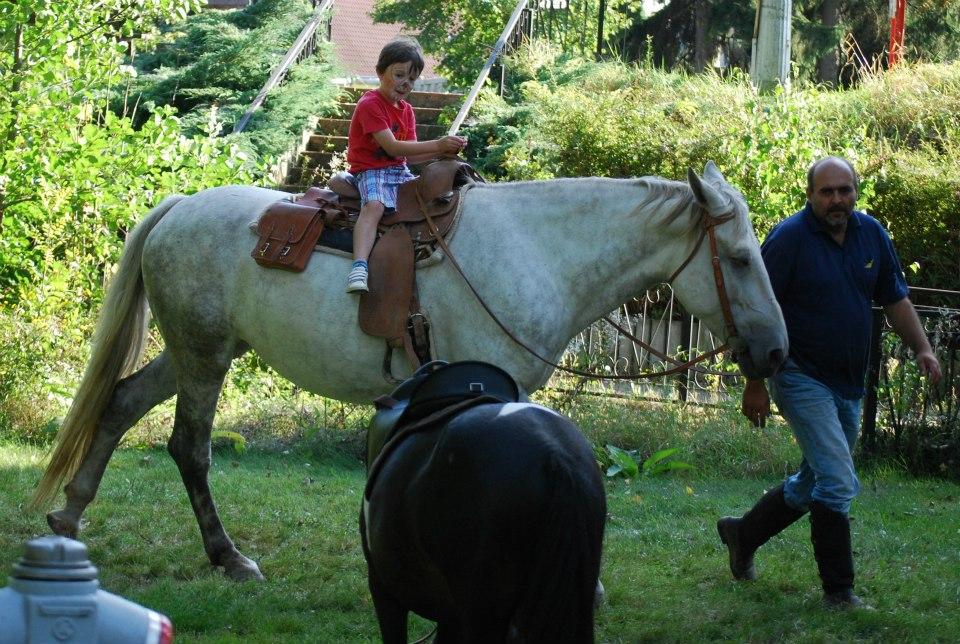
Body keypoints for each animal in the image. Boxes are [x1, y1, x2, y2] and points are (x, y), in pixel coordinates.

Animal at [33, 162, 787, 581]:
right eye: (739, 258)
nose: (777, 352)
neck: (541, 250)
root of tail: (178, 208)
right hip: (205, 357)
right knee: (189, 447)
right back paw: (228, 558)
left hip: (196, 352)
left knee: (120, 403)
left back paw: (69, 516)